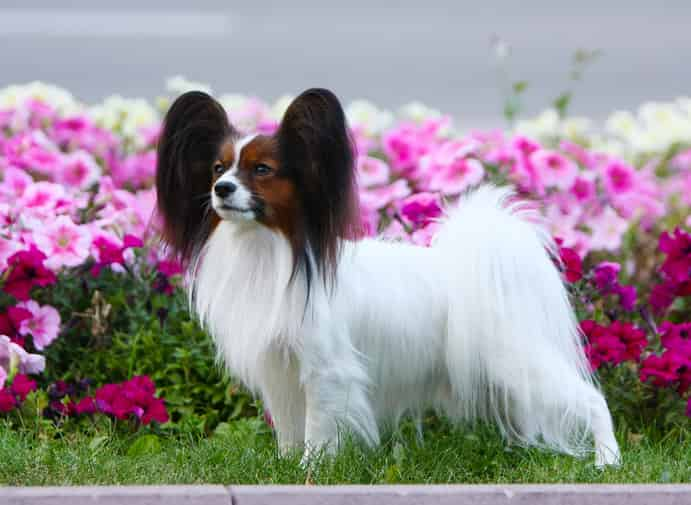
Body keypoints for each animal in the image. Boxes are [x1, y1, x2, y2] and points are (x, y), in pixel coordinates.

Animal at [155, 85, 620, 464]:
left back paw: (607, 461)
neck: (271, 250)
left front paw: (311, 471)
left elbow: (318, 429)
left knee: (594, 400)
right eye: (218, 169)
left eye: (262, 170)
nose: (221, 190)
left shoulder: (327, 371)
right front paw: (285, 468)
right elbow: (289, 430)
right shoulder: (281, 371)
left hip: (517, 359)